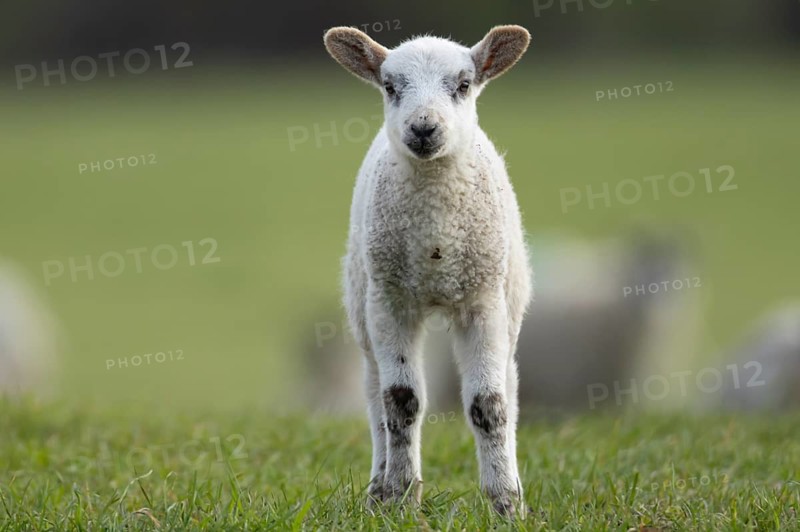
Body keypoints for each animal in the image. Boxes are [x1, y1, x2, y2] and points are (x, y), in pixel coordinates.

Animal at [323, 25, 533, 516]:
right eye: (389, 86)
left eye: (464, 84)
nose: (423, 128)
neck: (436, 240)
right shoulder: (391, 301)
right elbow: (401, 403)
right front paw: (401, 498)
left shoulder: (482, 299)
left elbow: (488, 404)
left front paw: (505, 504)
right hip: (362, 301)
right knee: (374, 393)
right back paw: (378, 489)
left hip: (511, 296)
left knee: (509, 386)